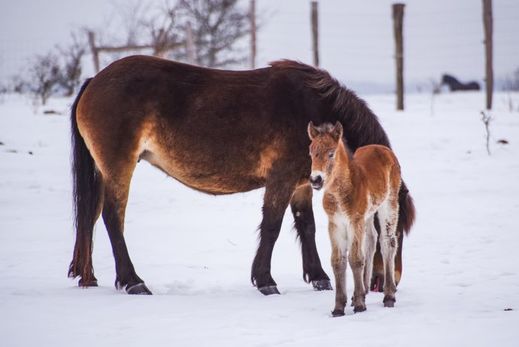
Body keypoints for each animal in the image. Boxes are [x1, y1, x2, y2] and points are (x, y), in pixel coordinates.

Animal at [68, 55, 414, 294]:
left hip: (104, 170)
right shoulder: (280, 179)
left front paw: (319, 278)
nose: (392, 281)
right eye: (393, 231)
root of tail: (95, 80)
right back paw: (132, 281)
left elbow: (307, 226)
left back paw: (89, 277)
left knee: (91, 215)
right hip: (119, 166)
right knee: (112, 217)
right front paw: (265, 280)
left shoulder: (301, 184)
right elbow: (272, 226)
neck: (310, 109)